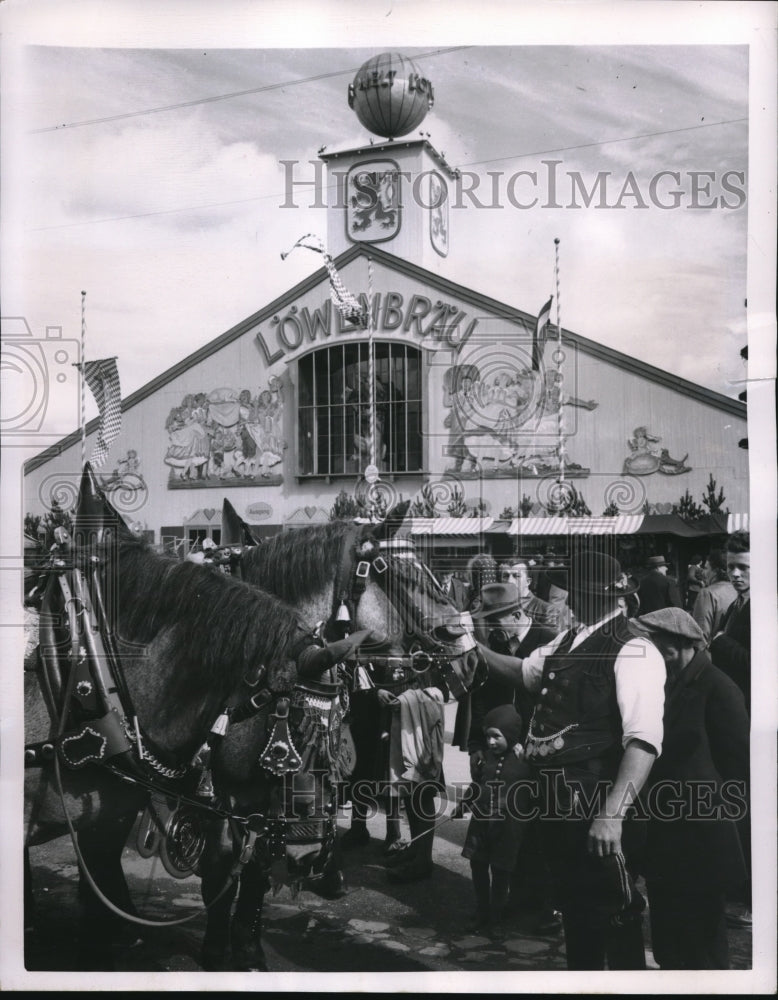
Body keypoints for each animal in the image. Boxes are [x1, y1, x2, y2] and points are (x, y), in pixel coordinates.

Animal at [28, 466, 382, 968]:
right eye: (292, 736)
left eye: (335, 736)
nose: (315, 857)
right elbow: (219, 871)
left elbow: (243, 870)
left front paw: (244, 950)